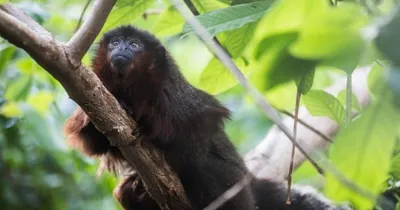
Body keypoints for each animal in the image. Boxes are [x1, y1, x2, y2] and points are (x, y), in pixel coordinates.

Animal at [64, 25, 352, 210]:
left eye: (134, 45)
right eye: (115, 42)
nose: (122, 48)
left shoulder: (174, 99)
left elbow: (198, 135)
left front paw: (149, 132)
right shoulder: (99, 89)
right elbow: (94, 140)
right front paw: (124, 109)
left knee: (203, 164)